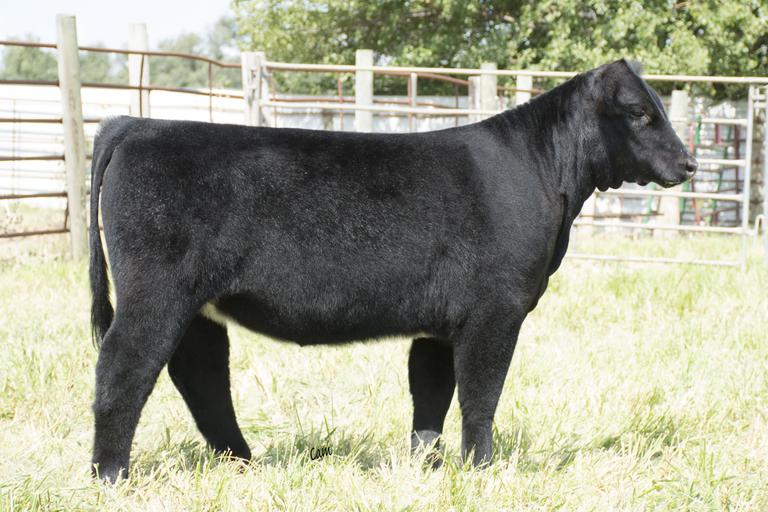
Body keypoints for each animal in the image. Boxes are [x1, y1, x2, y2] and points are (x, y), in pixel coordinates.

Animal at [88, 59, 696, 482]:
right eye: (640, 113)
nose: (690, 163)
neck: (545, 172)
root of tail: (136, 123)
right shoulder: (495, 310)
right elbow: (481, 395)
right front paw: (482, 470)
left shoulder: (441, 322)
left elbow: (431, 397)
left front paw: (426, 468)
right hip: (156, 294)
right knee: (124, 370)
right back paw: (111, 476)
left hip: (195, 304)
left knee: (200, 374)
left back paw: (243, 462)